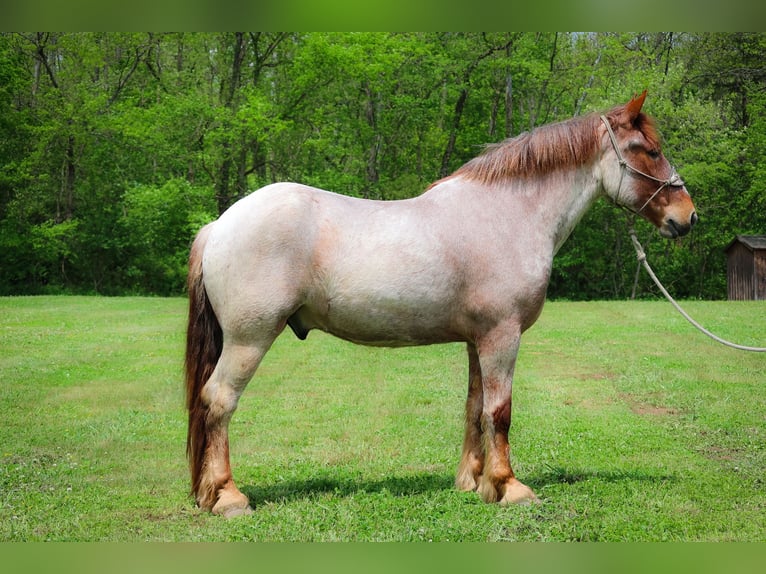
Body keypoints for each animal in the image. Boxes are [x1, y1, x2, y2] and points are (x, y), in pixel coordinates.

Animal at [183, 92, 700, 520]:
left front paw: (475, 483)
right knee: (219, 402)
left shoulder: (478, 339)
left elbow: (475, 407)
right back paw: (228, 497)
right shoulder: (502, 336)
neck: (508, 214)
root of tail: (221, 224)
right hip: (249, 340)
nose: (688, 217)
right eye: (649, 151)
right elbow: (500, 411)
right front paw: (510, 487)